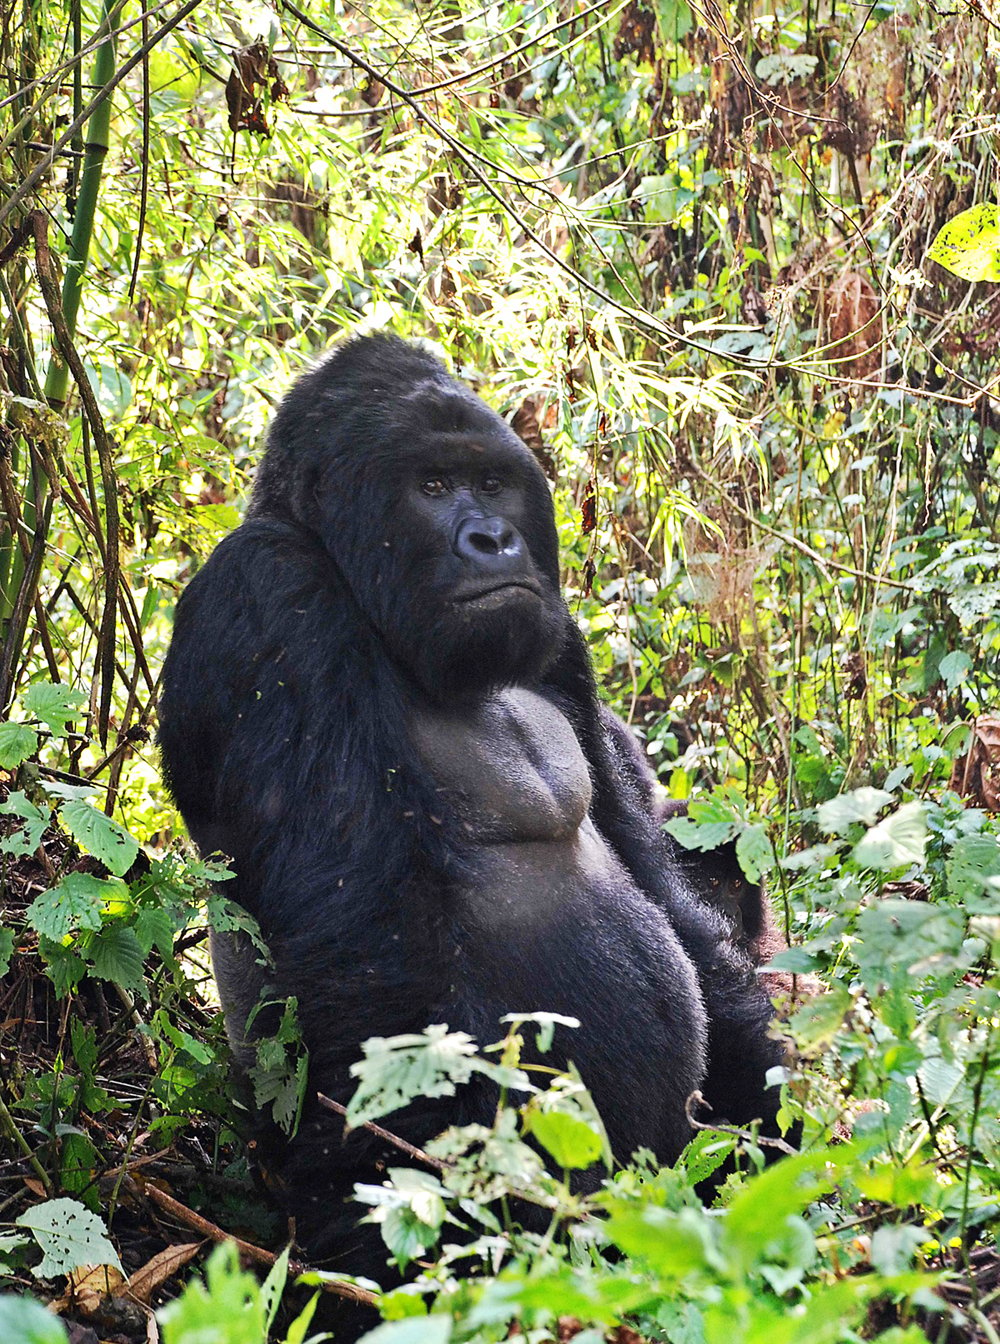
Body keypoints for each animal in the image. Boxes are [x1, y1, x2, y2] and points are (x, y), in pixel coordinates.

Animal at [157, 325, 790, 1290]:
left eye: (492, 484)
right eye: (430, 486)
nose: (494, 539)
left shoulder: (559, 639)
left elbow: (655, 872)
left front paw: (769, 1106)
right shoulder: (269, 595)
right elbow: (376, 971)